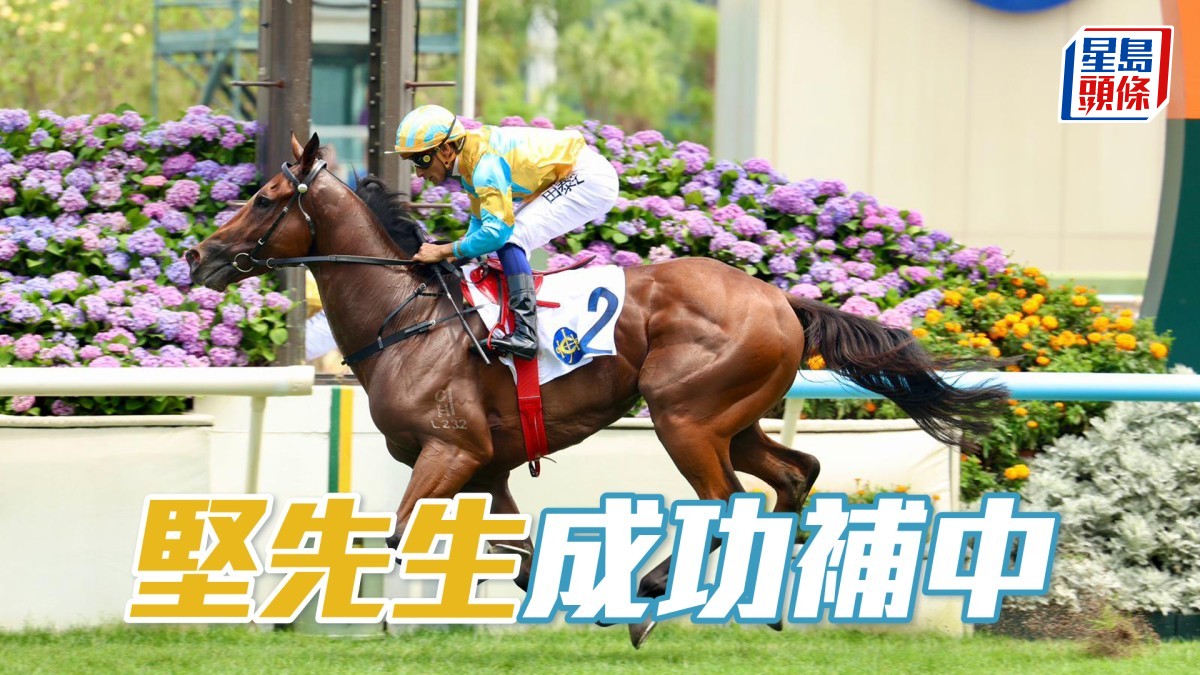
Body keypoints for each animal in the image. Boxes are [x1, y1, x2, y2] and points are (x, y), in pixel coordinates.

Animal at [186, 133, 1008, 646]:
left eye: (267, 197)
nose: (200, 255)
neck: (409, 319)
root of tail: (782, 299)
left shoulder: (452, 451)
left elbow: (400, 532)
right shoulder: (487, 468)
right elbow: (516, 547)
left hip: (685, 416)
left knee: (726, 501)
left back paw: (655, 595)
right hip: (733, 419)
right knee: (793, 475)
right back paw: (760, 598)